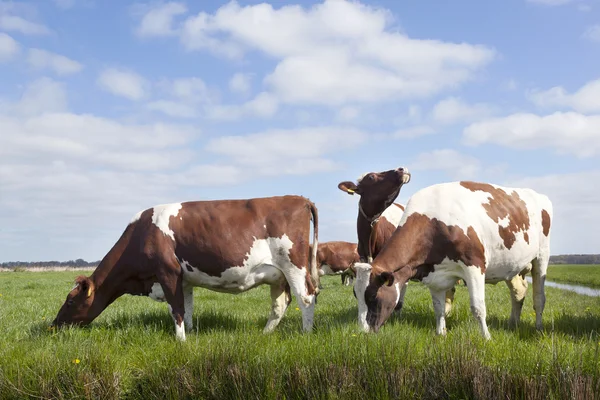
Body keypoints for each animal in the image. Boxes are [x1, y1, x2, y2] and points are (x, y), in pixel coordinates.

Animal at [52, 195, 318, 340]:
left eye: (71, 301)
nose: (53, 326)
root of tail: (301, 199)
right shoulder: (184, 280)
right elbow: (187, 307)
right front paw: (190, 332)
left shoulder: (168, 272)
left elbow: (177, 309)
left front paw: (180, 340)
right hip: (278, 276)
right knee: (280, 304)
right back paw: (265, 334)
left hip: (294, 265)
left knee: (305, 297)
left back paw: (305, 334)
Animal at [354, 182, 552, 340]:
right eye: (356, 295)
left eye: (373, 297)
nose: (362, 332)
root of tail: (539, 196)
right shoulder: (434, 274)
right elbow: (439, 308)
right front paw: (440, 333)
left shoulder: (474, 266)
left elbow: (478, 307)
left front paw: (486, 337)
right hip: (512, 266)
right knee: (519, 291)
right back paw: (513, 324)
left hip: (542, 256)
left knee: (539, 298)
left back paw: (538, 328)